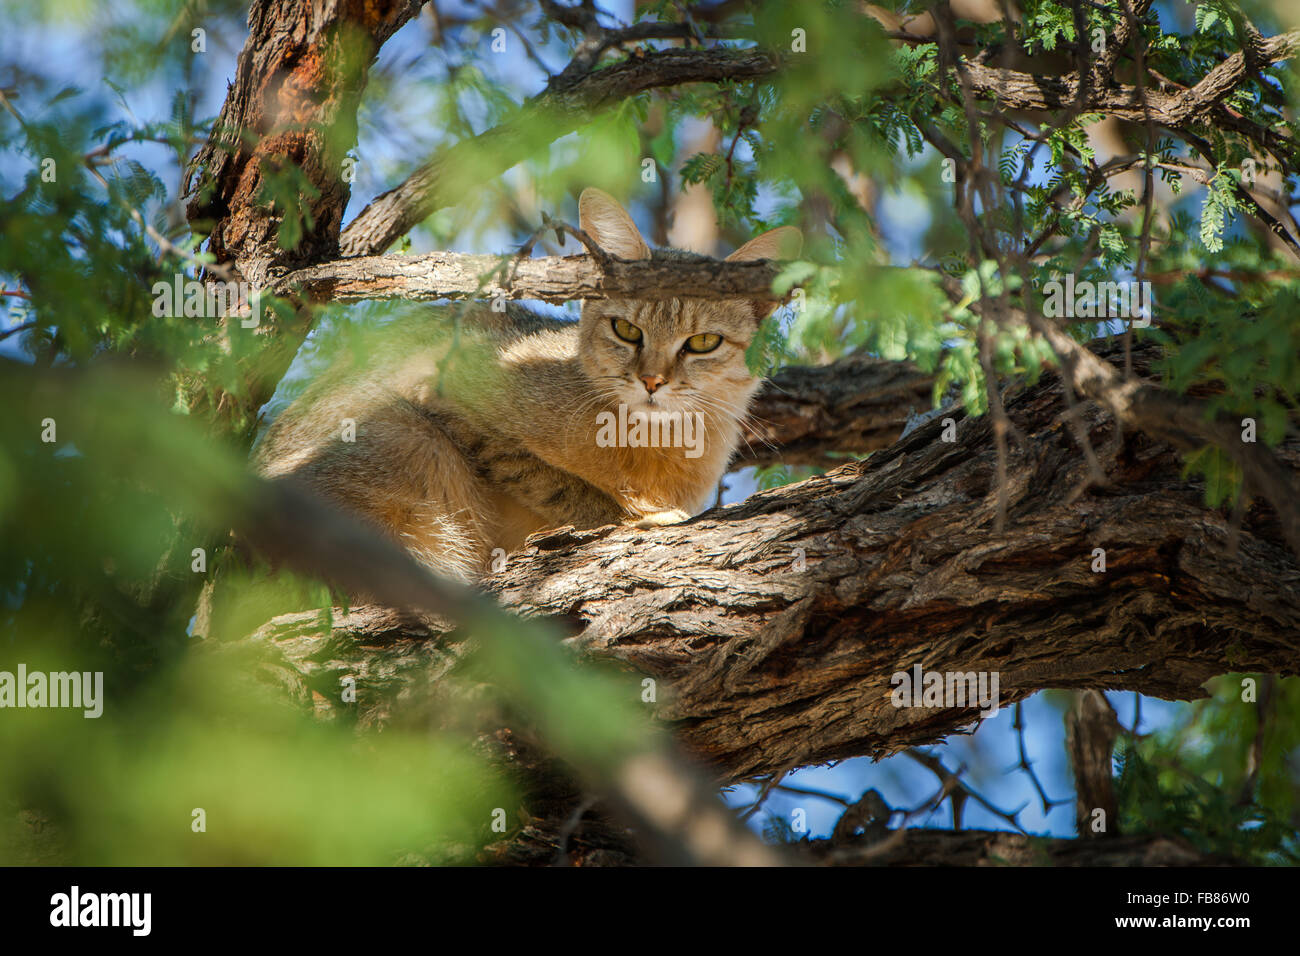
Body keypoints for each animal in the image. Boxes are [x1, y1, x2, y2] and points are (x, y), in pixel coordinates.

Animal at [253, 184, 800, 574]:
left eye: (703, 342)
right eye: (627, 330)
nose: (651, 381)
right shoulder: (444, 393)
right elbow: (561, 485)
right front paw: (633, 515)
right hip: (408, 435)